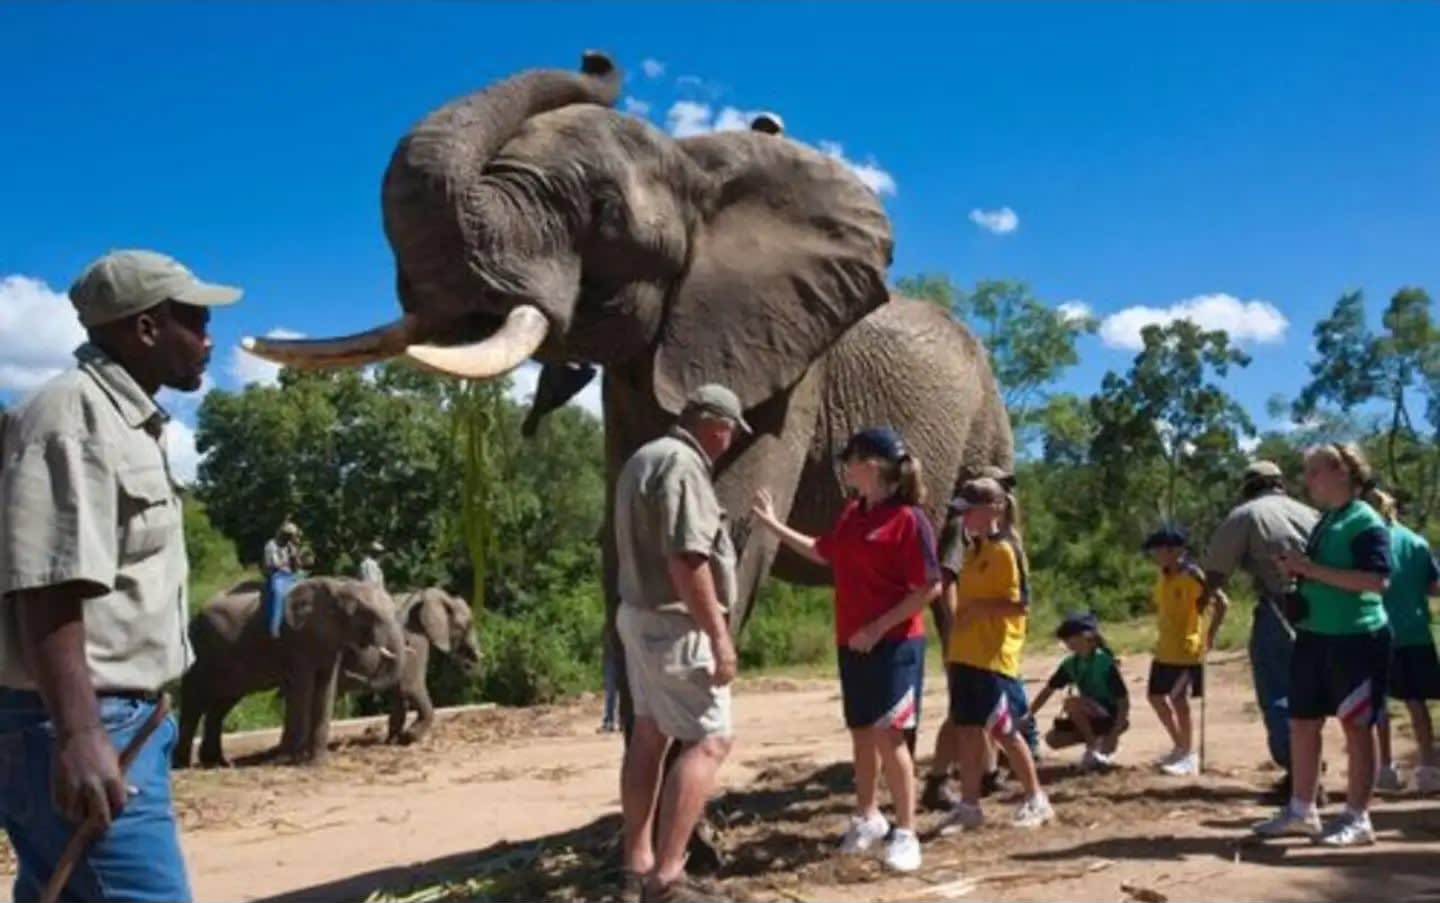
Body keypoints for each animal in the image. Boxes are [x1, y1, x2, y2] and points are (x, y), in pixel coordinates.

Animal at [174, 576, 407, 768]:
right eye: (368, 614)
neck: (338, 586)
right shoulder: (296, 641)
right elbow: (302, 688)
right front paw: (290, 760)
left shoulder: (329, 640)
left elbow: (326, 688)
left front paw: (317, 763)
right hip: (199, 651)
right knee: (194, 702)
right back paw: (183, 765)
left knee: (221, 705)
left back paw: (217, 763)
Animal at [240, 50, 1013, 704]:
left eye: (603, 213)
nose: (597, 57)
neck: (696, 164)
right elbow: (626, 536)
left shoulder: (789, 366)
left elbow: (728, 523)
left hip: (986, 410)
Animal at [339, 587, 482, 744]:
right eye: (466, 625)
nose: (471, 663)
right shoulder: (416, 638)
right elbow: (411, 687)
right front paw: (411, 737)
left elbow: (398, 693)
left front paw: (393, 741)